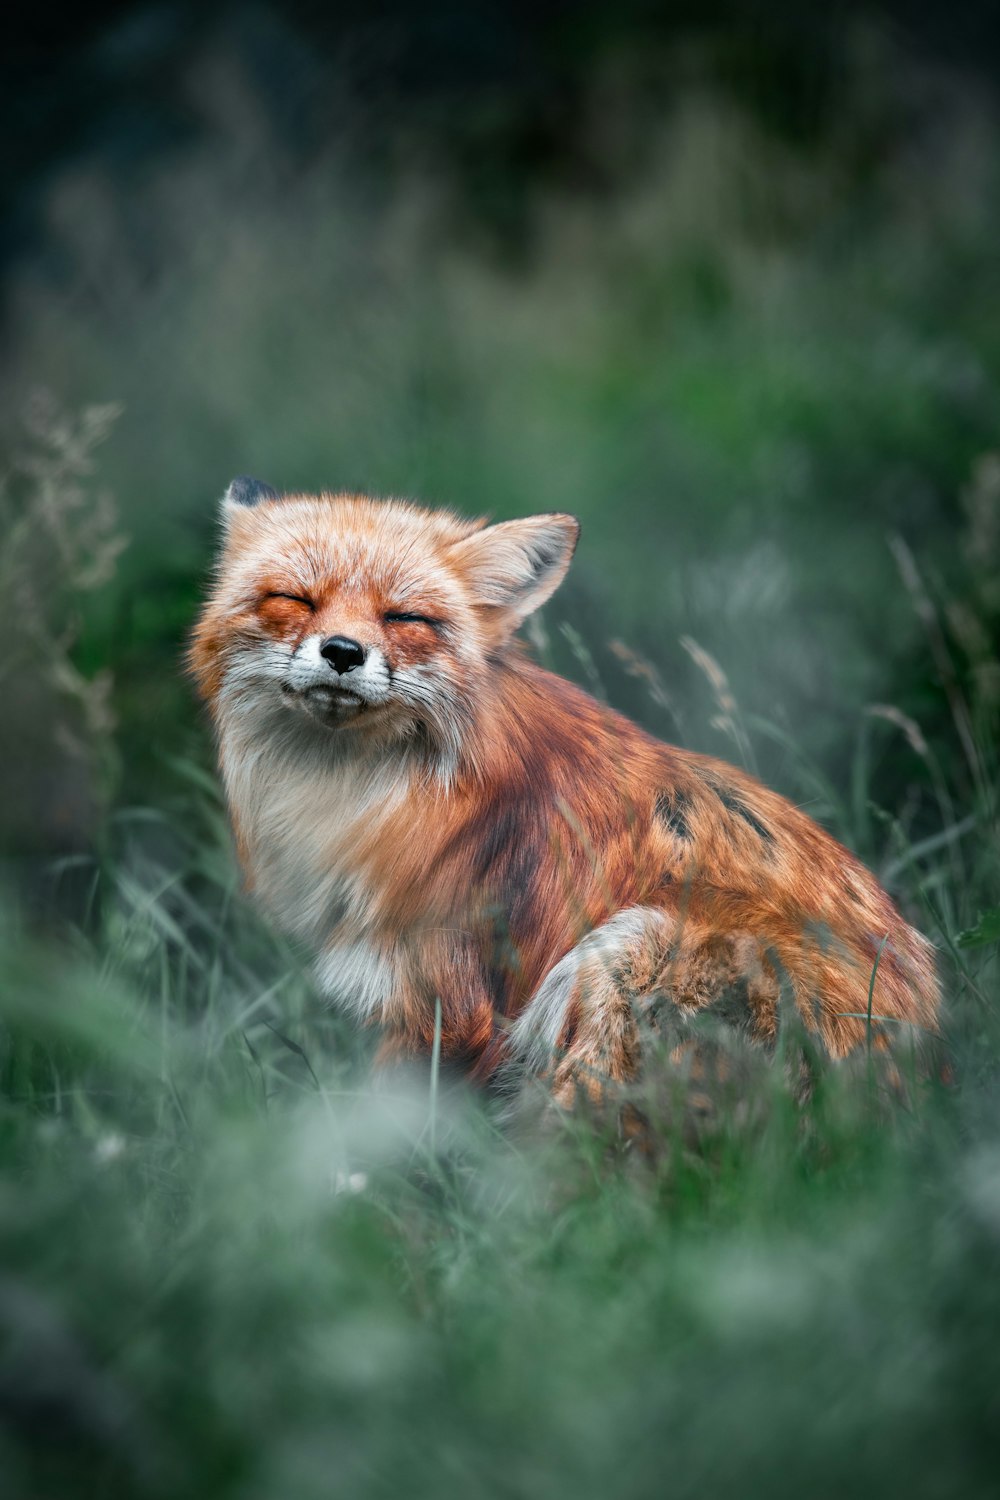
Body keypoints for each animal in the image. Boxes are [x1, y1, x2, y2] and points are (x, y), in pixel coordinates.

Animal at [189, 474, 941, 1110]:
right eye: (295, 599)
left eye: (405, 617)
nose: (343, 652)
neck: (377, 796)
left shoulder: (449, 1003)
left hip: (631, 950)